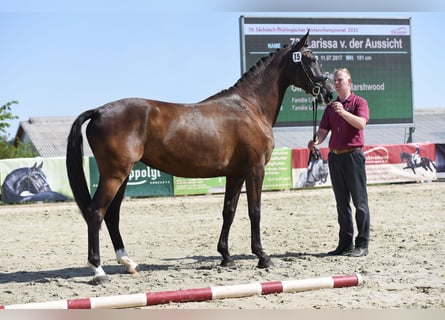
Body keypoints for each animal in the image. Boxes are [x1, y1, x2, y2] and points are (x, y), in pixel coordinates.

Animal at [65, 31, 330, 284]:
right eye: (311, 59)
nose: (327, 93)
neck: (250, 106)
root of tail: (99, 111)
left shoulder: (235, 174)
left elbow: (229, 211)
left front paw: (226, 256)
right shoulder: (255, 170)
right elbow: (255, 211)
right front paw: (263, 257)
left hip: (123, 176)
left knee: (112, 215)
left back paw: (127, 262)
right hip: (114, 175)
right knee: (96, 213)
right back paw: (98, 270)